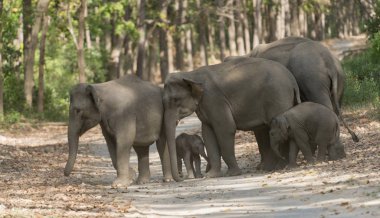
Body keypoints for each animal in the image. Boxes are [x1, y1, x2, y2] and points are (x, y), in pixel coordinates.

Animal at [163, 57, 300, 181]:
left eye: (175, 100)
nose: (181, 178)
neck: (191, 74)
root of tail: (292, 78)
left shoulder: (215, 100)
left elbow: (225, 129)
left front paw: (232, 174)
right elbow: (208, 133)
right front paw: (211, 175)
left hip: (278, 97)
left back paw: (280, 166)